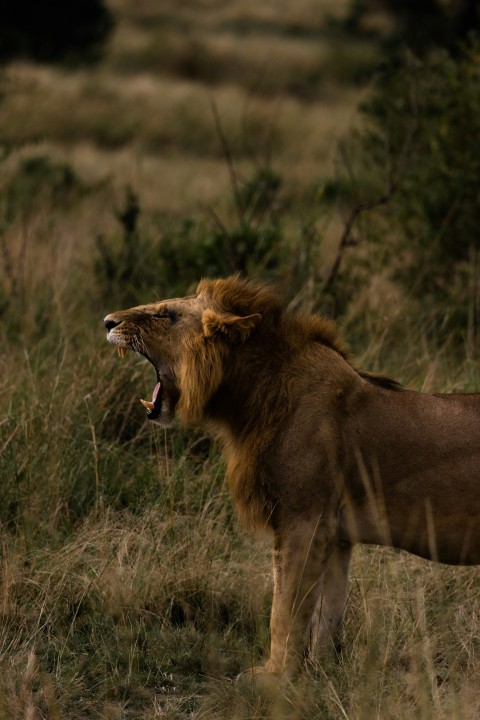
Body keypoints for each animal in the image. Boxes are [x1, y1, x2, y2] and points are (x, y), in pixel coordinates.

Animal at [104, 275, 480, 681]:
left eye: (166, 314)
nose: (108, 321)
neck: (251, 397)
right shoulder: (336, 534)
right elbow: (327, 612)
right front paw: (322, 672)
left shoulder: (303, 521)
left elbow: (284, 610)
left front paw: (273, 677)